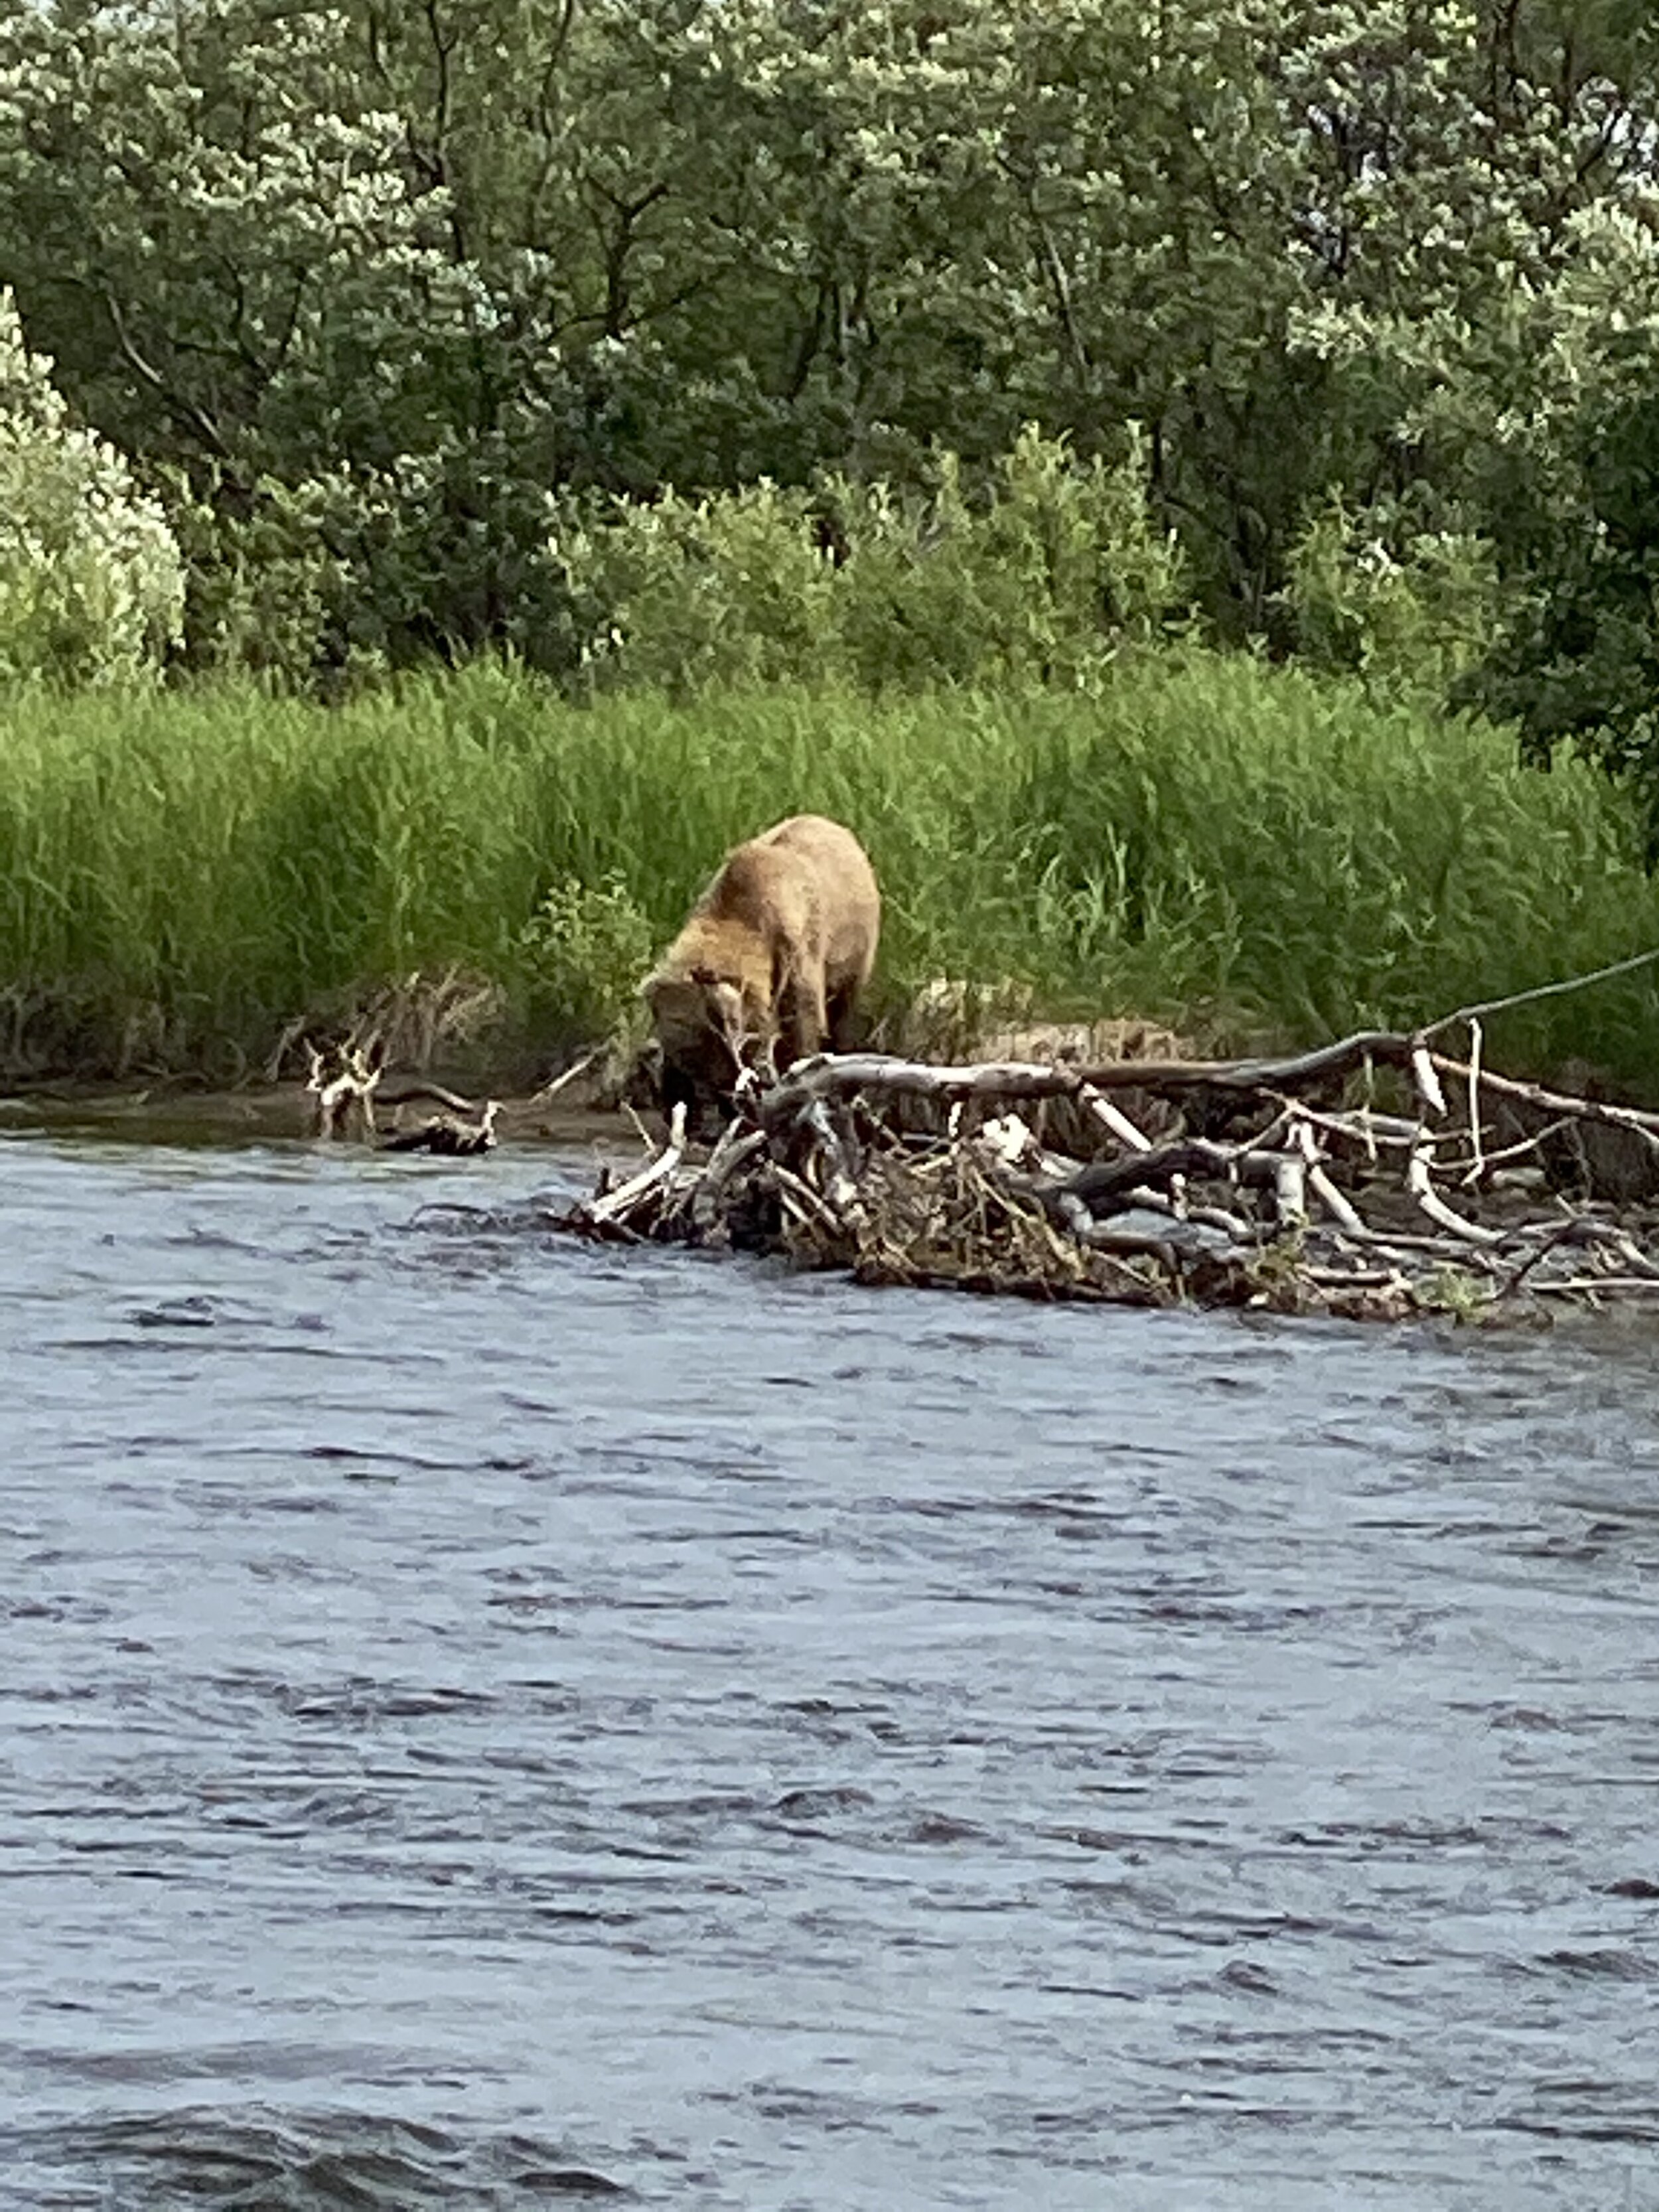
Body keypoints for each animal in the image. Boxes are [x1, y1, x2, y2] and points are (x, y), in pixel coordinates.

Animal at [646, 818, 885, 1124]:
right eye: (682, 1052)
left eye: (698, 1047)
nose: (672, 1103)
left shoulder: (798, 958)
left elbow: (804, 1027)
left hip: (855, 958)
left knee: (844, 1011)